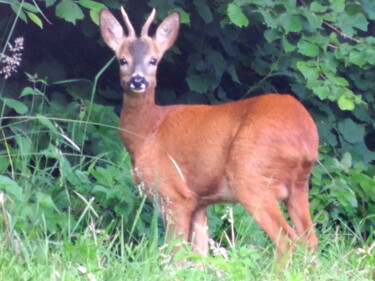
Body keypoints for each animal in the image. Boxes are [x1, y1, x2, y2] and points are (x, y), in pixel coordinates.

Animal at [98, 7, 318, 260]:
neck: (147, 132)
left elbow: (175, 255)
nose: (137, 80)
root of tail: (306, 138)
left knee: (288, 242)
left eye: (153, 60)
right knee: (311, 242)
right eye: (122, 60)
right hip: (298, 186)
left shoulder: (175, 194)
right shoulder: (199, 201)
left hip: (251, 176)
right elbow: (199, 256)